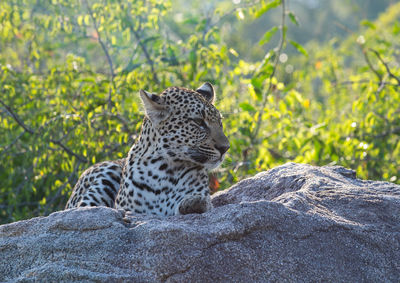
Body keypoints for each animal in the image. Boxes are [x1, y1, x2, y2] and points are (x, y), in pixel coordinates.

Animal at [64, 83, 230, 216]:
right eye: (198, 122)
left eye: (220, 122)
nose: (225, 148)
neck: (164, 170)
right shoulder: (130, 209)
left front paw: (194, 203)